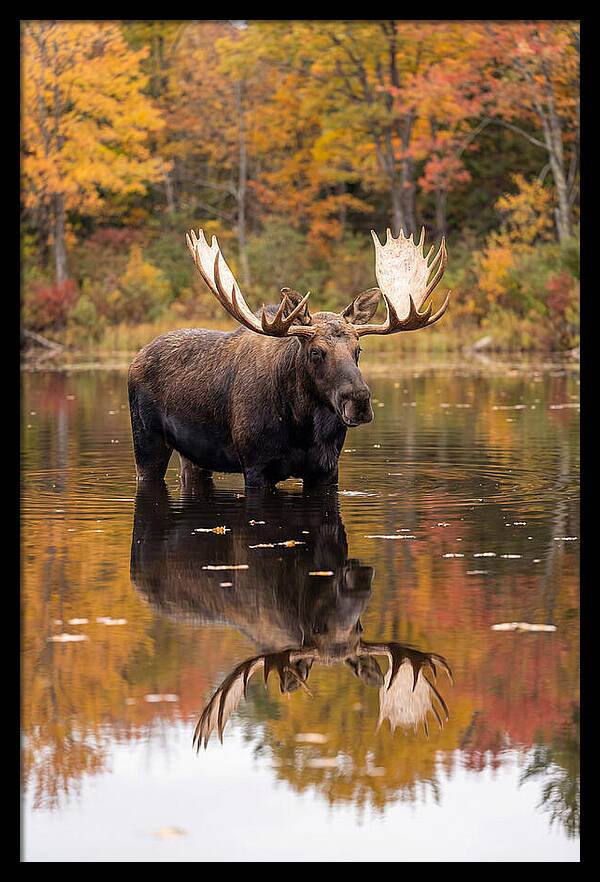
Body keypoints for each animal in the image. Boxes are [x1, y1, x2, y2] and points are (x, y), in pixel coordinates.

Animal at [128, 227, 449, 490]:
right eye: (316, 351)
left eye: (358, 350)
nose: (358, 401)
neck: (302, 426)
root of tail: (136, 357)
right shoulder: (256, 466)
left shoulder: (327, 469)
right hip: (146, 441)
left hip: (194, 456)